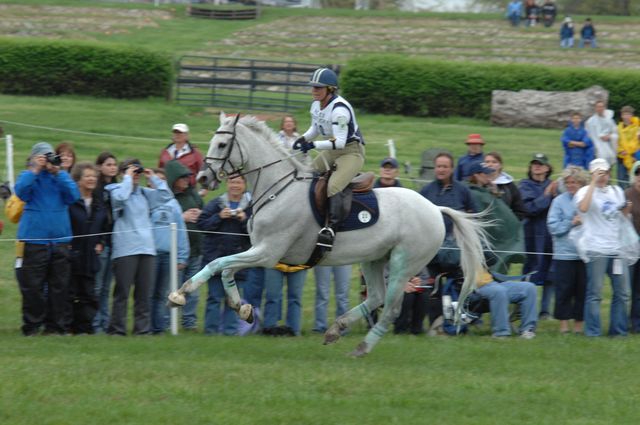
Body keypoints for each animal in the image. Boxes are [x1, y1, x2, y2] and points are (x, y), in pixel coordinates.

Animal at [168, 112, 488, 354]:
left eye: (222, 144)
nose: (202, 178)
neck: (277, 189)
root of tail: (434, 208)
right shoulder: (257, 250)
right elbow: (225, 271)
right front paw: (242, 309)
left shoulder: (268, 252)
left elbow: (216, 264)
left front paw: (180, 294)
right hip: (374, 259)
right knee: (375, 297)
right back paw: (336, 329)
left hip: (402, 263)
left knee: (390, 309)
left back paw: (361, 348)